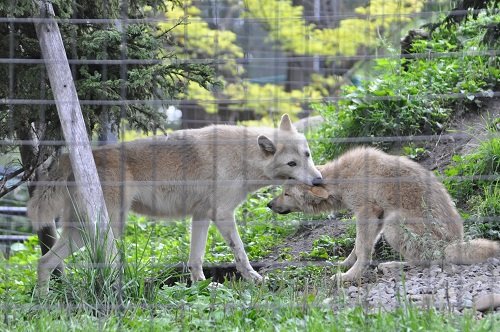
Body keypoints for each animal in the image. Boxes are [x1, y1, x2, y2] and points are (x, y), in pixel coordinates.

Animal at [29, 114, 322, 294]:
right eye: (292, 163)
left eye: (307, 155)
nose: (319, 180)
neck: (242, 157)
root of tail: (68, 159)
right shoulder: (223, 215)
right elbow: (240, 252)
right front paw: (255, 279)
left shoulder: (201, 215)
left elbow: (196, 259)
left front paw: (202, 287)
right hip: (104, 229)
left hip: (80, 232)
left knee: (44, 262)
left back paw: (44, 301)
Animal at [270, 147, 500, 282]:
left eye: (286, 194)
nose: (269, 204)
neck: (342, 178)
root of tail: (454, 242)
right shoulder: (376, 217)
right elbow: (358, 248)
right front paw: (345, 264)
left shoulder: (366, 213)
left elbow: (362, 249)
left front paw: (349, 276)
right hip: (389, 224)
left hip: (393, 225)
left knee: (426, 261)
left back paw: (392, 266)